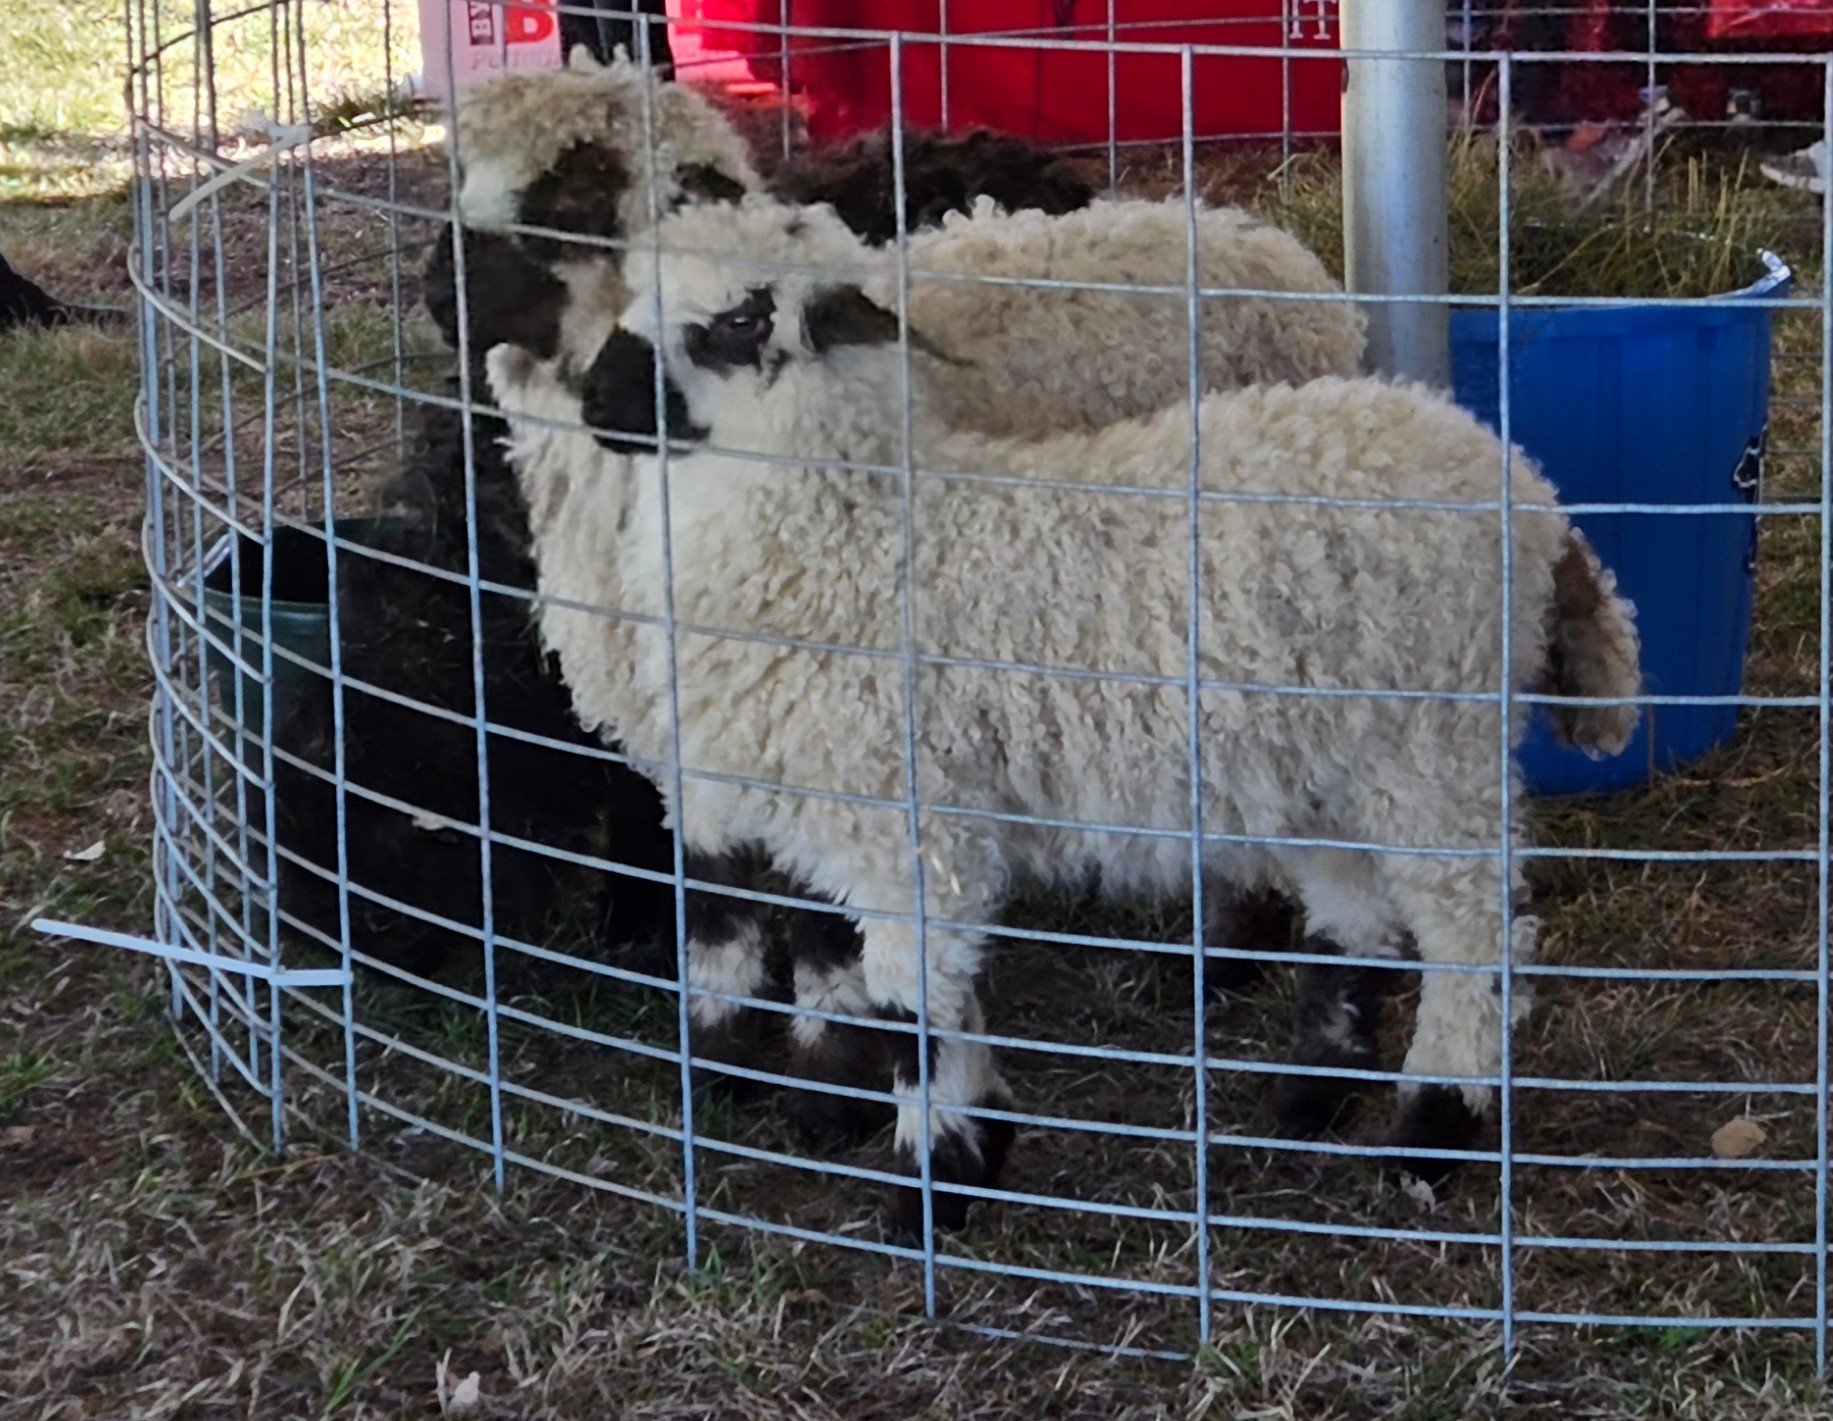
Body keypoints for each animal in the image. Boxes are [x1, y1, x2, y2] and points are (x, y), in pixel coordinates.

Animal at [486, 196, 1641, 1236]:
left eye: (736, 319)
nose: (601, 403)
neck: (850, 529)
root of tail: (1521, 482)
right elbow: (912, 993)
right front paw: (966, 1145)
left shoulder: (910, 830)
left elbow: (912, 1013)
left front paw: (932, 1187)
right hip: (1315, 762)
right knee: (1358, 918)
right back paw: (1312, 1096)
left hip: (1433, 747)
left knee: (1473, 937)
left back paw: (1434, 1128)